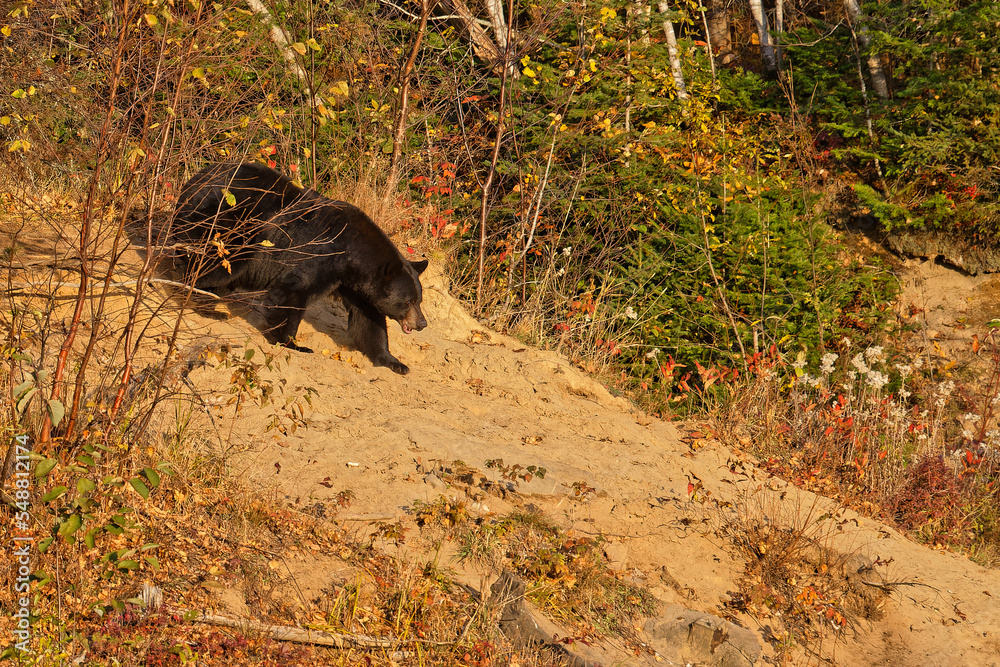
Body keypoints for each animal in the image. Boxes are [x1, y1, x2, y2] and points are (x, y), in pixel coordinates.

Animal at [170, 159, 428, 374]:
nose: (422, 324)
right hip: (230, 224)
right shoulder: (322, 255)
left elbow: (369, 320)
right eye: (408, 302)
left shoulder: (357, 286)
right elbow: (293, 291)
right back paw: (206, 305)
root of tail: (195, 180)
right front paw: (293, 343)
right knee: (216, 262)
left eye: (419, 300)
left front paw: (394, 361)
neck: (353, 256)